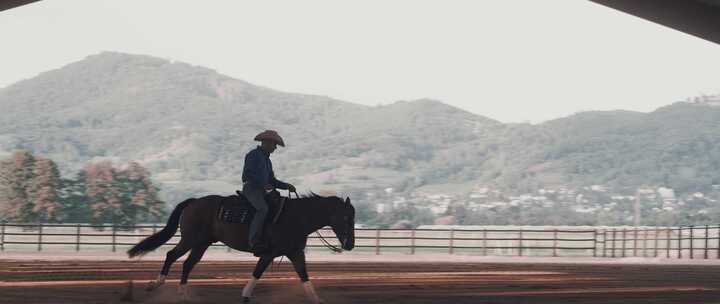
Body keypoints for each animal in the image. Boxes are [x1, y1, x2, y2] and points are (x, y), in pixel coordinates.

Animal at [129, 191, 358, 302]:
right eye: (346, 218)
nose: (350, 245)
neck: (295, 217)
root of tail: (193, 202)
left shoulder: (295, 253)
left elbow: (305, 278)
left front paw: (317, 299)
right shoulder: (269, 253)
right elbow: (257, 273)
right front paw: (245, 296)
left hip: (201, 244)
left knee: (187, 264)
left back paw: (183, 295)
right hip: (190, 240)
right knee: (171, 255)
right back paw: (155, 284)